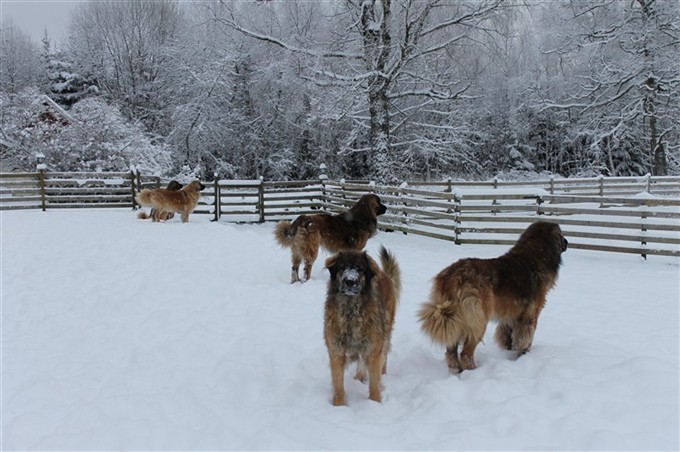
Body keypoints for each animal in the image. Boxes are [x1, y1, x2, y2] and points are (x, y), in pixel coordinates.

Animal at [322, 247, 398, 406]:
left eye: (360, 269)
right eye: (342, 267)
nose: (350, 281)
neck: (351, 312)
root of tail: (384, 274)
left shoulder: (374, 350)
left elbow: (374, 383)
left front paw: (375, 403)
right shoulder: (336, 352)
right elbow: (338, 384)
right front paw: (339, 405)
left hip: (385, 331)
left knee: (384, 353)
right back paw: (359, 377)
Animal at [420, 221, 568, 372]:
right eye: (561, 235)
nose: (567, 242)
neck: (534, 256)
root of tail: (451, 277)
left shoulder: (511, 315)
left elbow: (509, 336)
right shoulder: (531, 315)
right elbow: (525, 337)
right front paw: (524, 354)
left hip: (454, 320)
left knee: (451, 350)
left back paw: (456, 370)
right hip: (478, 320)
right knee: (466, 353)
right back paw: (473, 370)